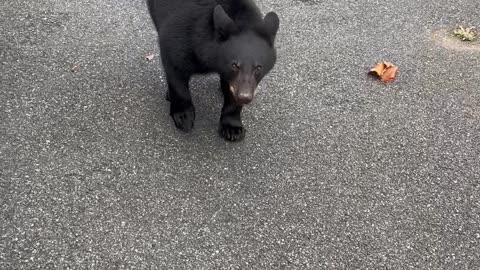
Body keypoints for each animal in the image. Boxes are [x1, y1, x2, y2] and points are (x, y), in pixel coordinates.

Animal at [148, 0, 280, 141]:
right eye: (234, 65)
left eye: (259, 67)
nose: (244, 97)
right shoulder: (179, 36)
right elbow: (176, 72)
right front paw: (183, 116)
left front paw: (232, 127)